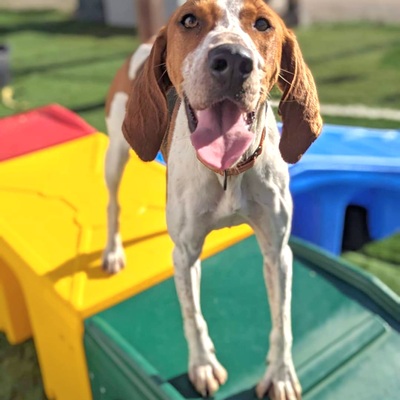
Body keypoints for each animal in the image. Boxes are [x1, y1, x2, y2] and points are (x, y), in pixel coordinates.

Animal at [103, 1, 322, 398]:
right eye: (189, 19)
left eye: (263, 24)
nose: (233, 60)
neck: (228, 171)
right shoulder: (186, 254)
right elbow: (194, 317)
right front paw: (203, 364)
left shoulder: (277, 251)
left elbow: (282, 320)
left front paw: (281, 373)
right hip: (116, 154)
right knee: (113, 204)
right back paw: (112, 251)